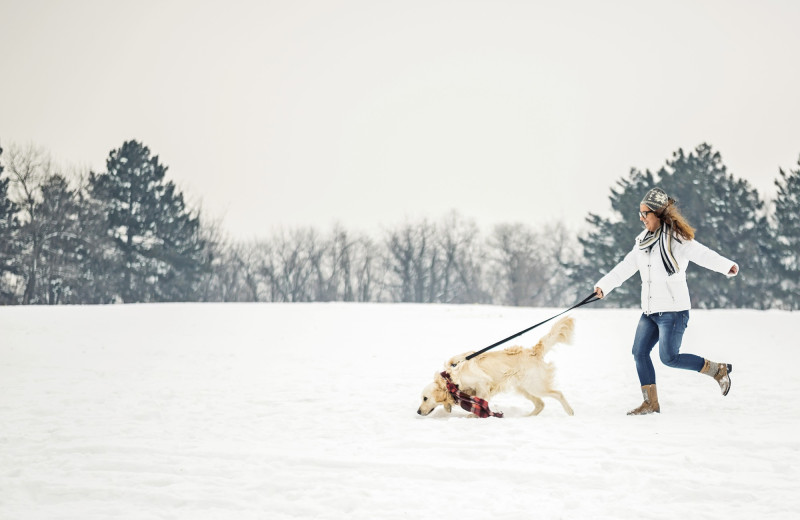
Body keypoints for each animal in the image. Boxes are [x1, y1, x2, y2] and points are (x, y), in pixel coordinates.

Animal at [418, 314, 576, 416]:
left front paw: (474, 415)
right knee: (540, 404)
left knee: (558, 394)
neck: (451, 378)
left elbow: (481, 401)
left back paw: (570, 412)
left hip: (535, 385)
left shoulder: (483, 383)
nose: (418, 411)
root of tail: (533, 352)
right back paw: (526, 417)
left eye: (425, 398)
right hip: (524, 388)